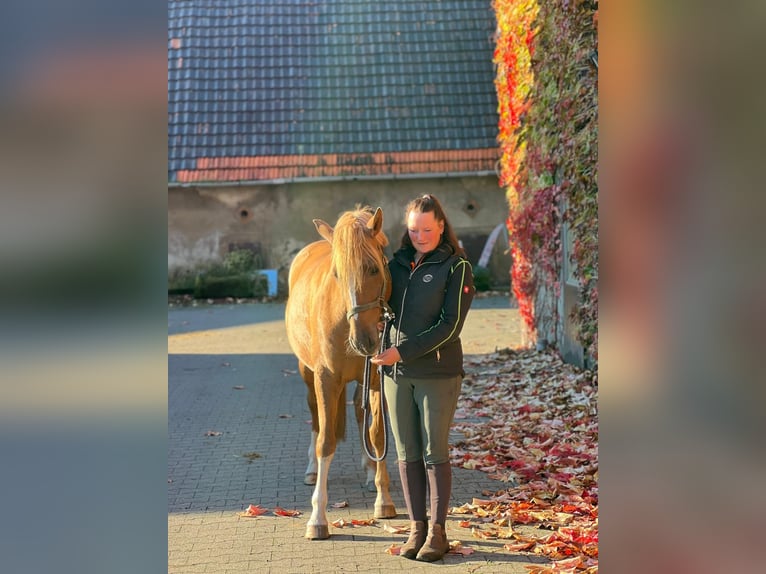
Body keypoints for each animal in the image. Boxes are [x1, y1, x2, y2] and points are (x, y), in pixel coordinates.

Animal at [284, 209, 400, 544]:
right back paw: (311, 470)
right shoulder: (325, 378)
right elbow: (325, 440)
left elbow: (377, 434)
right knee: (315, 417)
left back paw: (369, 470)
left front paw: (383, 500)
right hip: (307, 373)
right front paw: (317, 519)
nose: (363, 341)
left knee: (362, 419)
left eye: (373, 268)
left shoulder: (375, 378)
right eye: (337, 274)